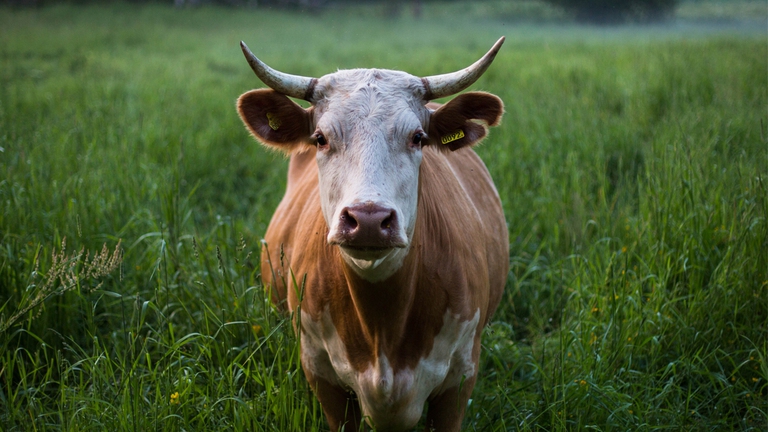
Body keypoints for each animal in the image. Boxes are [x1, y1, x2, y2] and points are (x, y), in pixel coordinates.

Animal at [236, 37, 509, 431]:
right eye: (320, 138)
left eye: (418, 137)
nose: (367, 219)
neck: (382, 328)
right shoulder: (321, 374)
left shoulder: (460, 378)